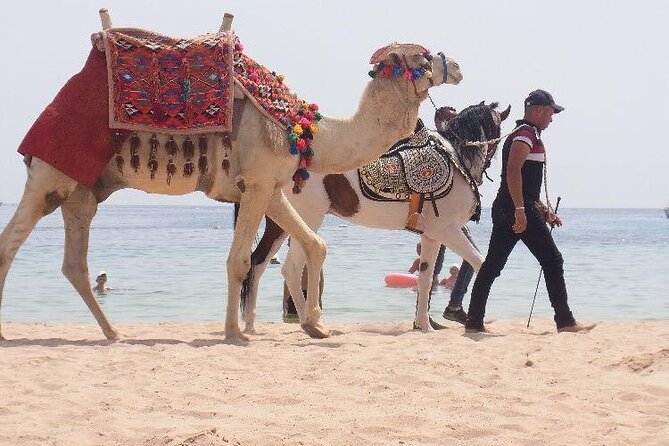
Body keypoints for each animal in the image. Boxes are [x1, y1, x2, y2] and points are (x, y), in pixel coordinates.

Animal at [0, 9, 463, 342]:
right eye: (422, 57)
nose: (456, 65)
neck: (302, 128)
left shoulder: (270, 186)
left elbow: (315, 244)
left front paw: (316, 324)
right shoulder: (257, 183)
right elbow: (239, 260)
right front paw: (234, 333)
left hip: (82, 191)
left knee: (74, 264)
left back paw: (114, 332)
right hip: (50, 174)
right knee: (10, 244)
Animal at [240, 102, 510, 332]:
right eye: (496, 127)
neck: (453, 157)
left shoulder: (432, 236)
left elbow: (424, 279)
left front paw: (424, 326)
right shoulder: (448, 230)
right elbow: (481, 264)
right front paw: (475, 322)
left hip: (281, 224)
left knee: (258, 263)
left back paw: (252, 324)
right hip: (307, 220)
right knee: (291, 269)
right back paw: (309, 322)